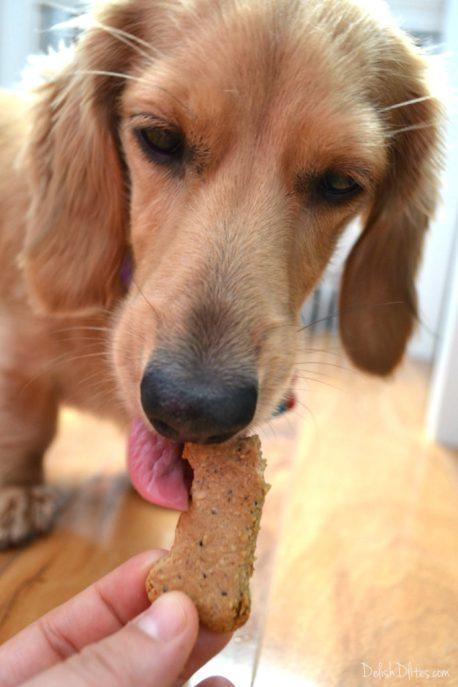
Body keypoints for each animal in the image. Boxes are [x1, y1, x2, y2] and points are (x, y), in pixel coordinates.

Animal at [0, 0, 440, 548]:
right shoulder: (17, 355)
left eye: (341, 183)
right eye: (159, 137)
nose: (192, 411)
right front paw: (16, 490)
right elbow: (25, 421)